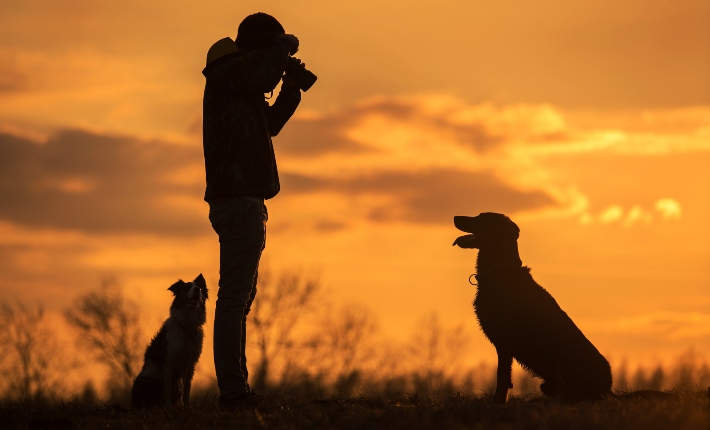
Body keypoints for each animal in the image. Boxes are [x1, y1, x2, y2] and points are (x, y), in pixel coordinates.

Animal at [132, 274, 209, 408]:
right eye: (186, 288)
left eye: (199, 287)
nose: (197, 289)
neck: (187, 327)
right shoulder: (169, 361)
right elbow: (167, 388)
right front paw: (167, 407)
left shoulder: (190, 363)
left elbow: (187, 388)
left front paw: (187, 405)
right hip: (148, 380)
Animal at [456, 214, 612, 404]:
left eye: (481, 218)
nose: (455, 217)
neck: (500, 268)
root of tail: (608, 387)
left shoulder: (504, 340)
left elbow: (502, 375)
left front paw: (497, 402)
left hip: (565, 365)